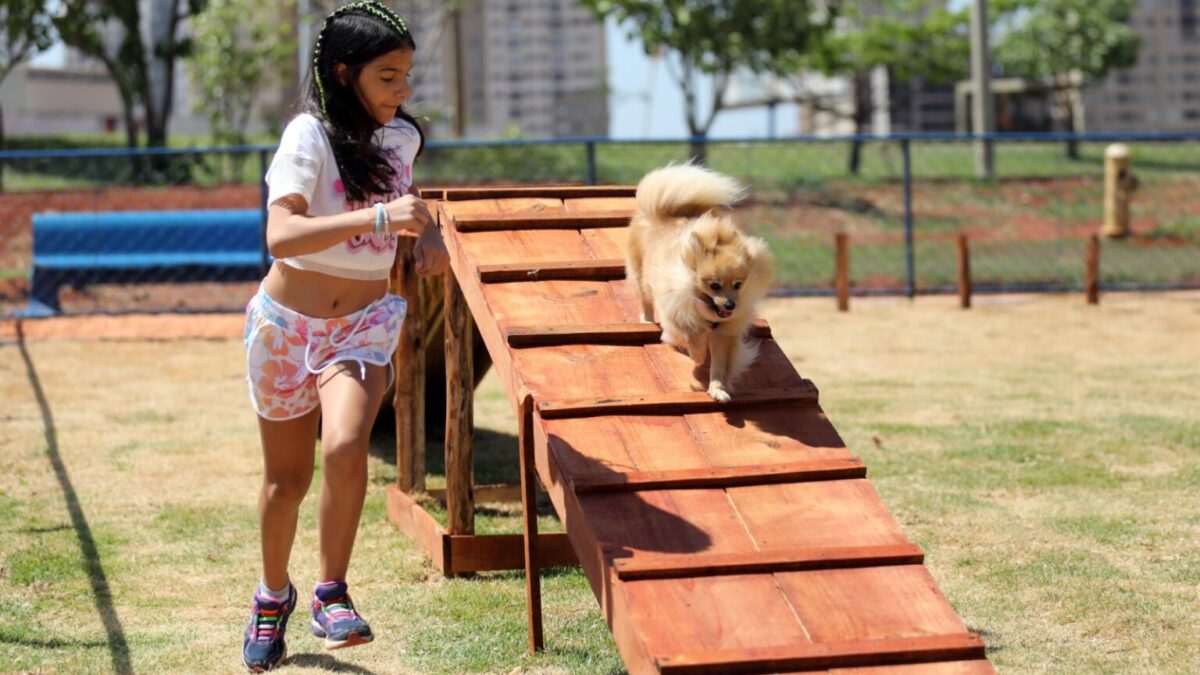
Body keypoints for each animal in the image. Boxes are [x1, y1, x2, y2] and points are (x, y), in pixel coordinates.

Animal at [624, 164, 772, 398]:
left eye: (738, 285)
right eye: (714, 285)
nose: (730, 305)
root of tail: (663, 210)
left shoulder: (725, 333)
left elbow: (719, 366)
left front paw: (718, 389)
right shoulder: (678, 313)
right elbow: (693, 338)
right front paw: (698, 356)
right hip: (641, 277)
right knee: (645, 299)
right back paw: (647, 320)